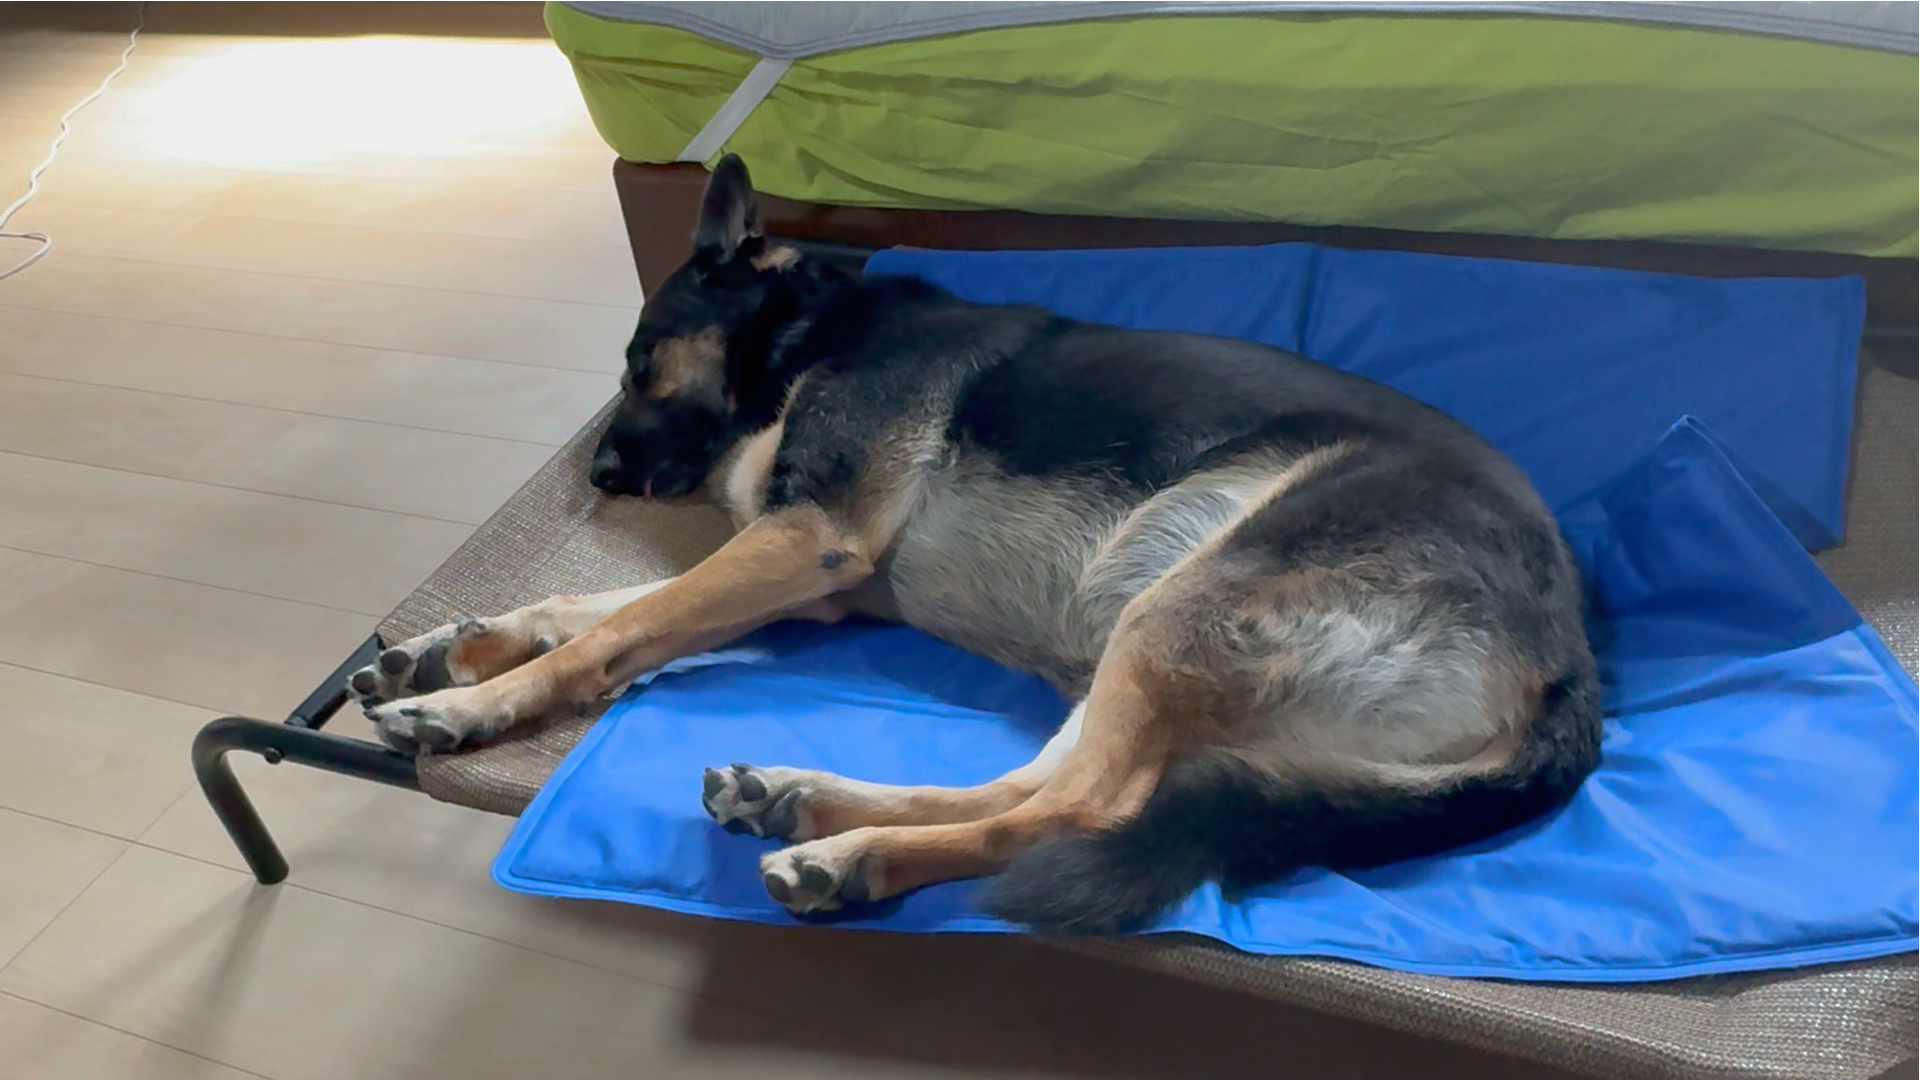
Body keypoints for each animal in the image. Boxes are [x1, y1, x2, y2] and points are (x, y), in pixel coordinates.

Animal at [352, 155, 1602, 933]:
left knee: (1082, 811)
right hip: (1134, 652)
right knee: (1034, 785)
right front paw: (457, 645)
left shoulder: (809, 543)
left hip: (1178, 612)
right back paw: (802, 800)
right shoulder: (802, 577)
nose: (600, 477)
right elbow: (591, 613)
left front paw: (467, 704)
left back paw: (852, 860)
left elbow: (616, 631)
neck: (814, 332)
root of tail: (1573, 667)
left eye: (639, 360)